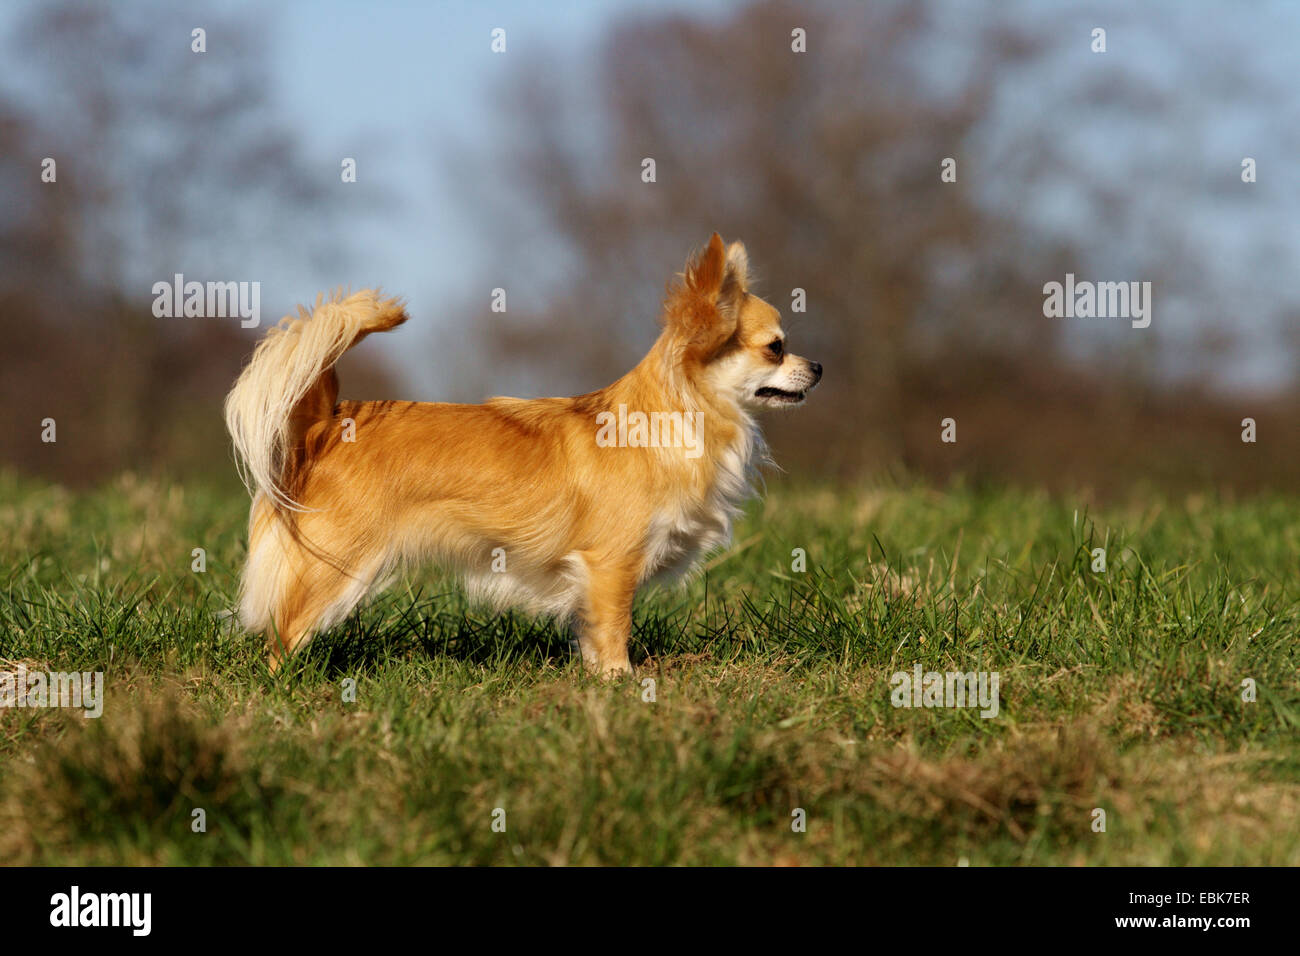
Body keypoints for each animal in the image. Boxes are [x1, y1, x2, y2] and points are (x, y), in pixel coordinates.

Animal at [218, 234, 816, 676]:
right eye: (776, 348)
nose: (820, 367)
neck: (677, 419)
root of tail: (326, 420)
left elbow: (593, 637)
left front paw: (599, 683)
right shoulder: (611, 566)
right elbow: (614, 629)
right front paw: (622, 685)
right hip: (334, 567)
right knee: (283, 633)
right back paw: (284, 689)